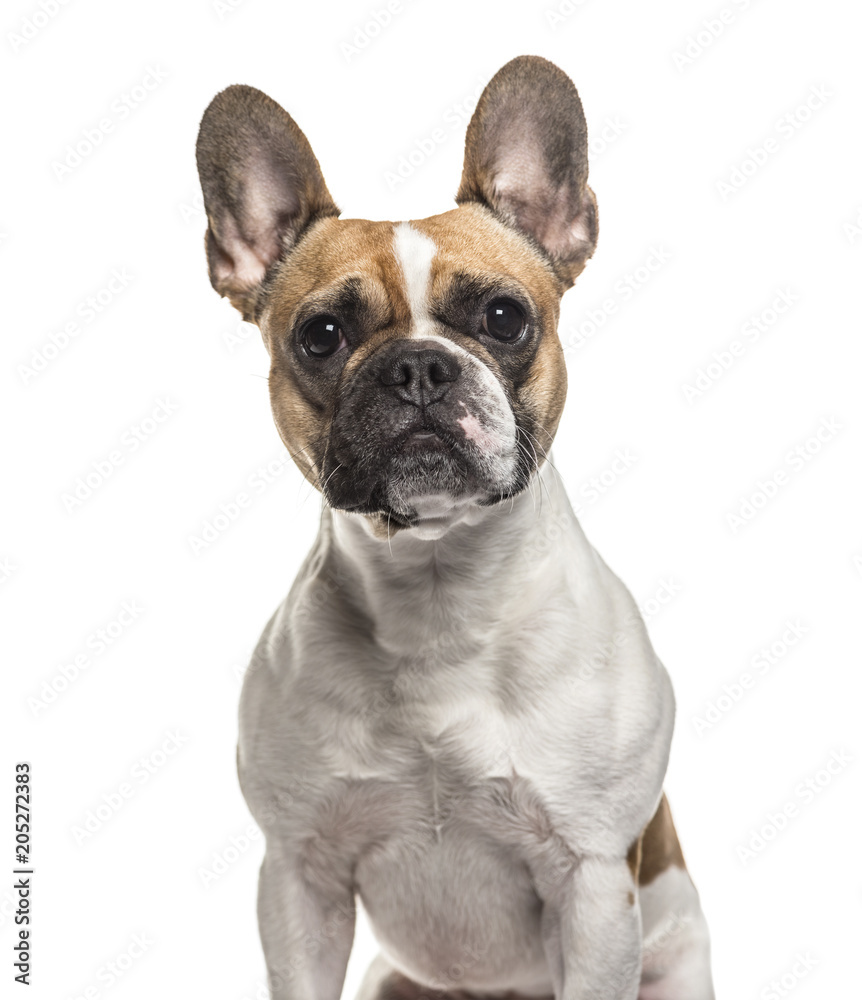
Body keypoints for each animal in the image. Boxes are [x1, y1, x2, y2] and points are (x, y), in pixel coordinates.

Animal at [196, 56, 716, 1000]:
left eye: (504, 318)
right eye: (322, 335)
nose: (418, 367)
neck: (436, 591)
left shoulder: (593, 884)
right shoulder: (298, 877)